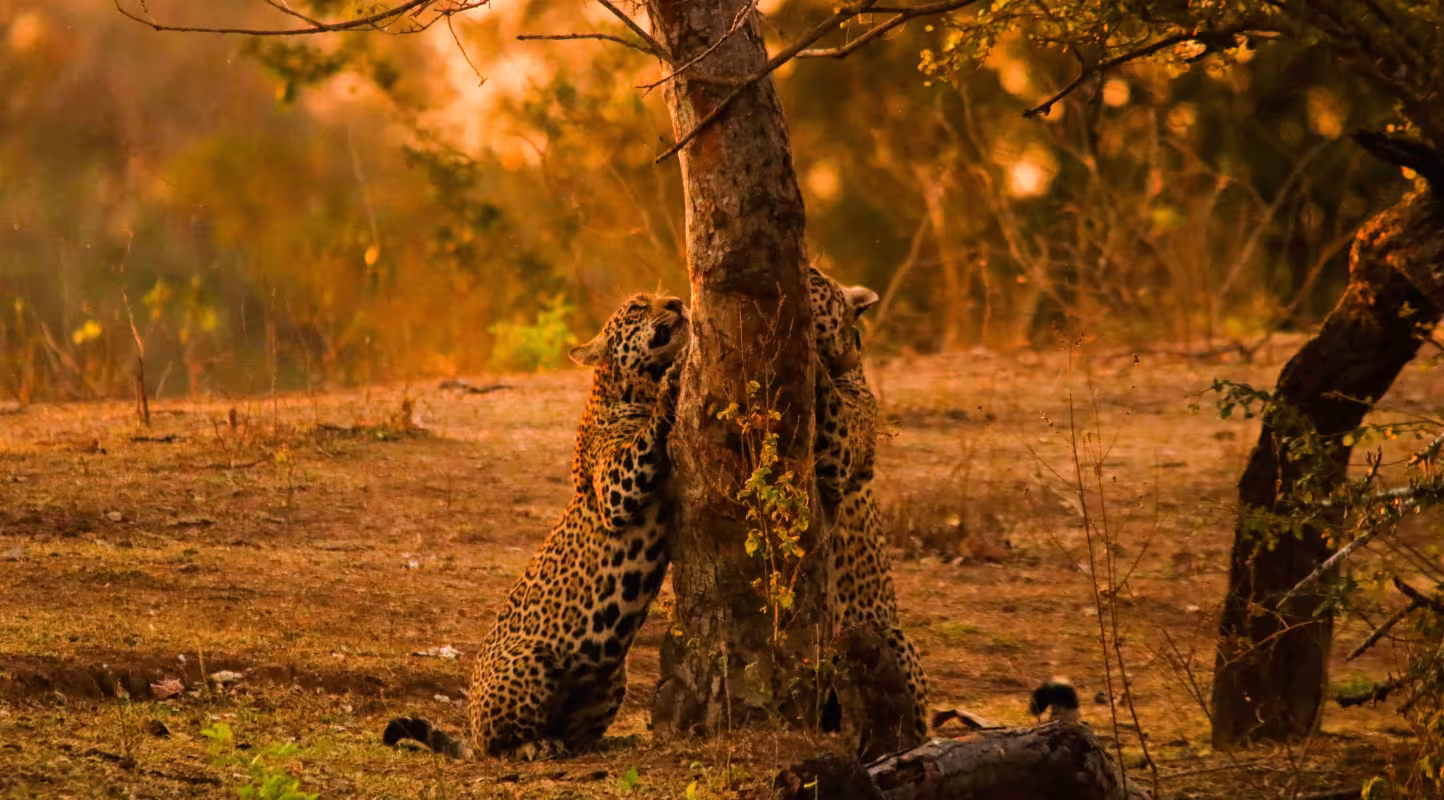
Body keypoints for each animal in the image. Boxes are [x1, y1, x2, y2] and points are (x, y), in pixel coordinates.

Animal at [384, 292, 689, 761]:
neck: (624, 388)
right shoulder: (616, 490)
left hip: (611, 679)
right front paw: (675, 378)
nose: (677, 301)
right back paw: (534, 746)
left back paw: (600, 742)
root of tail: (471, 731)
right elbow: (647, 435)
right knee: (498, 746)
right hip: (532, 660)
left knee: (576, 733)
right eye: (638, 307)